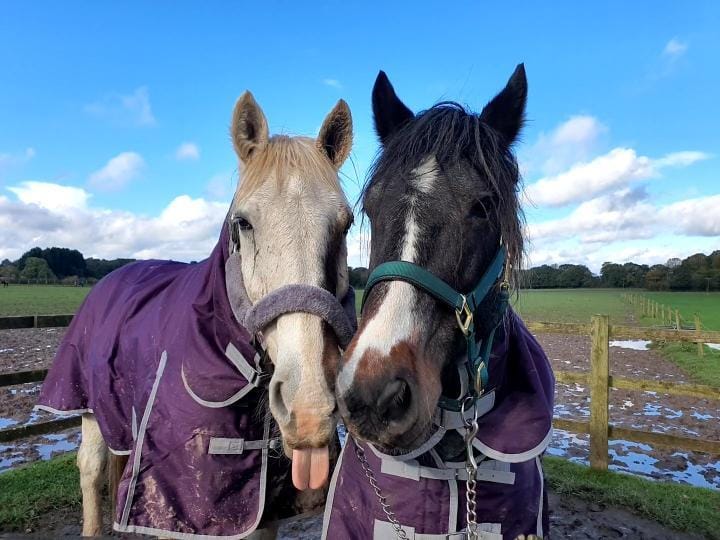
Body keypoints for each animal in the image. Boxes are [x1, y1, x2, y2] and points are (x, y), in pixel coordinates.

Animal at [36, 91, 356, 538]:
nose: (308, 409)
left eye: (345, 225)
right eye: (244, 223)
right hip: (86, 410)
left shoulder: (261, 513)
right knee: (91, 472)